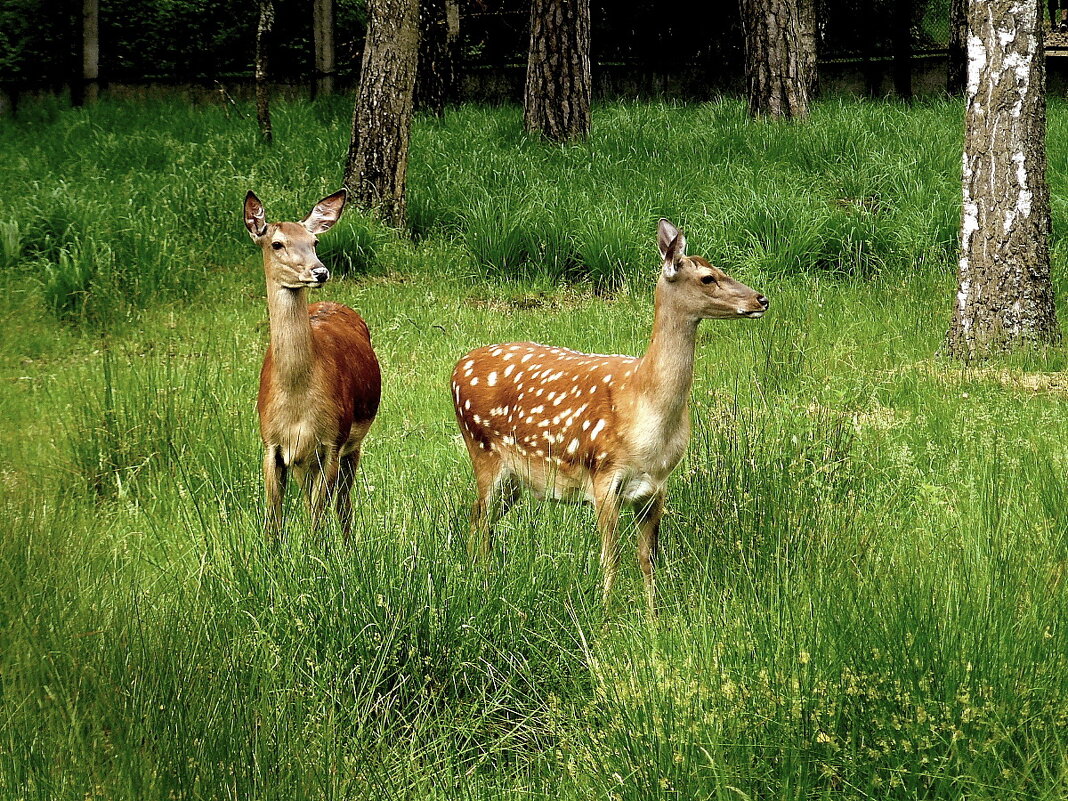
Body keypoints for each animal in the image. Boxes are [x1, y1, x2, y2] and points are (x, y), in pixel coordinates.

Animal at [244, 189, 382, 540]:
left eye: (314, 241)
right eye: (277, 243)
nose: (320, 272)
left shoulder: (332, 440)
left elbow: (317, 521)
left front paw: (318, 555)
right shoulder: (271, 444)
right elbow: (274, 521)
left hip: (353, 444)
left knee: (343, 505)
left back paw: (349, 547)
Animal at [450, 220, 768, 615]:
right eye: (708, 278)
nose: (761, 299)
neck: (646, 410)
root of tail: (456, 369)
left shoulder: (656, 486)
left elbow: (647, 558)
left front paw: (652, 618)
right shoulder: (602, 476)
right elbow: (609, 557)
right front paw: (604, 616)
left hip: (514, 478)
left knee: (482, 519)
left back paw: (484, 576)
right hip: (481, 450)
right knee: (478, 516)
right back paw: (479, 580)